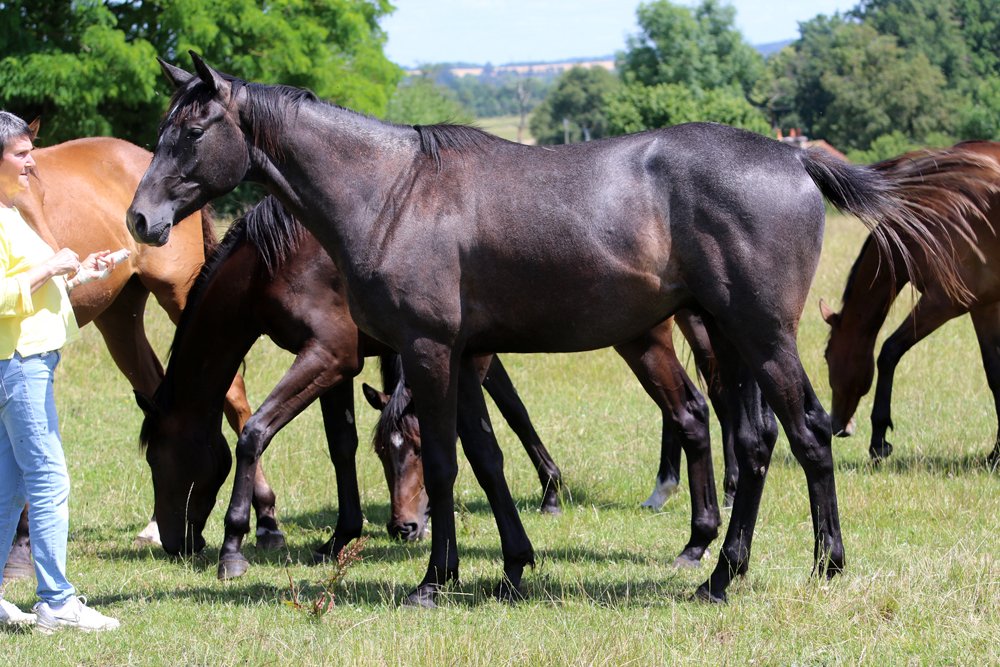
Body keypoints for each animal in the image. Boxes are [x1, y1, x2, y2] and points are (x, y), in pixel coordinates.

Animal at [1, 131, 276, 581]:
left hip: (181, 295)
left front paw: (21, 554)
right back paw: (157, 526)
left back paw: (268, 521)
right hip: (119, 319)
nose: (57, 259)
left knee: (232, 394)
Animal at [139, 194, 727, 581]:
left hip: (645, 340)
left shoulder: (334, 355)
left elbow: (256, 431)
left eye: (159, 458)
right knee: (702, 404)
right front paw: (343, 536)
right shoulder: (341, 363)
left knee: (695, 407)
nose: (174, 541)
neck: (281, 257)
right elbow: (342, 444)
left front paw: (235, 543)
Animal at [822, 141, 1000, 463]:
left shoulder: (944, 303)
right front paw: (997, 453)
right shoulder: (984, 306)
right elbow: (995, 373)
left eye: (827, 356)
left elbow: (889, 352)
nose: (838, 425)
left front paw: (879, 440)